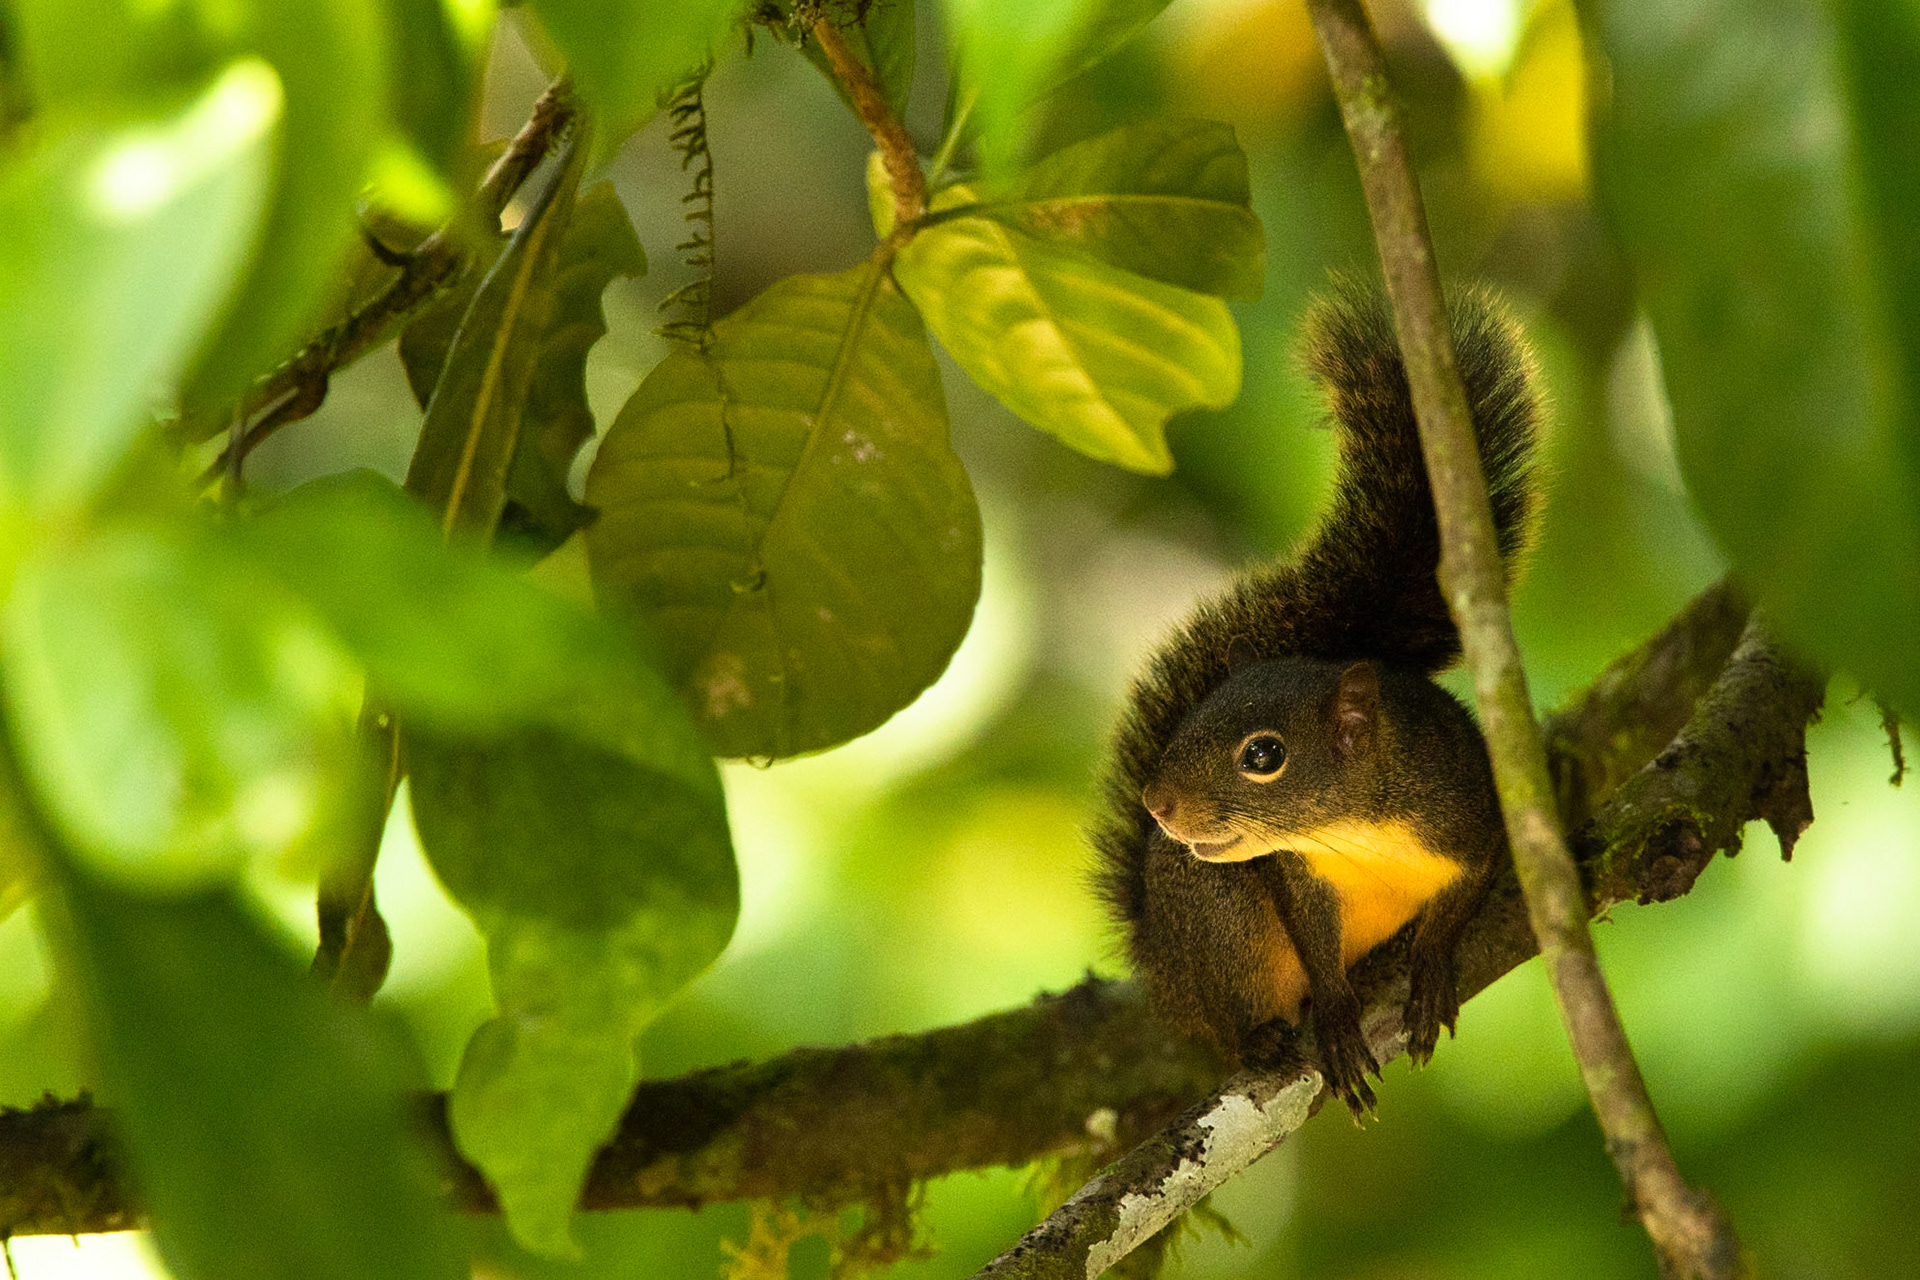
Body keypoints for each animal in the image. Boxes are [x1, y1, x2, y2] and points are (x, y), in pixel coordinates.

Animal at [1093, 278, 1540, 1116]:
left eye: (1264, 755)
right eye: (1190, 718)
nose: (1157, 805)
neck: (1357, 827)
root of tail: (1158, 963)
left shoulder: (1476, 820)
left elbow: (1460, 902)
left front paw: (1429, 967)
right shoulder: (1296, 876)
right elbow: (1311, 942)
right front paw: (1334, 1013)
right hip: (1218, 920)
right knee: (1235, 1004)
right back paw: (1263, 1038)